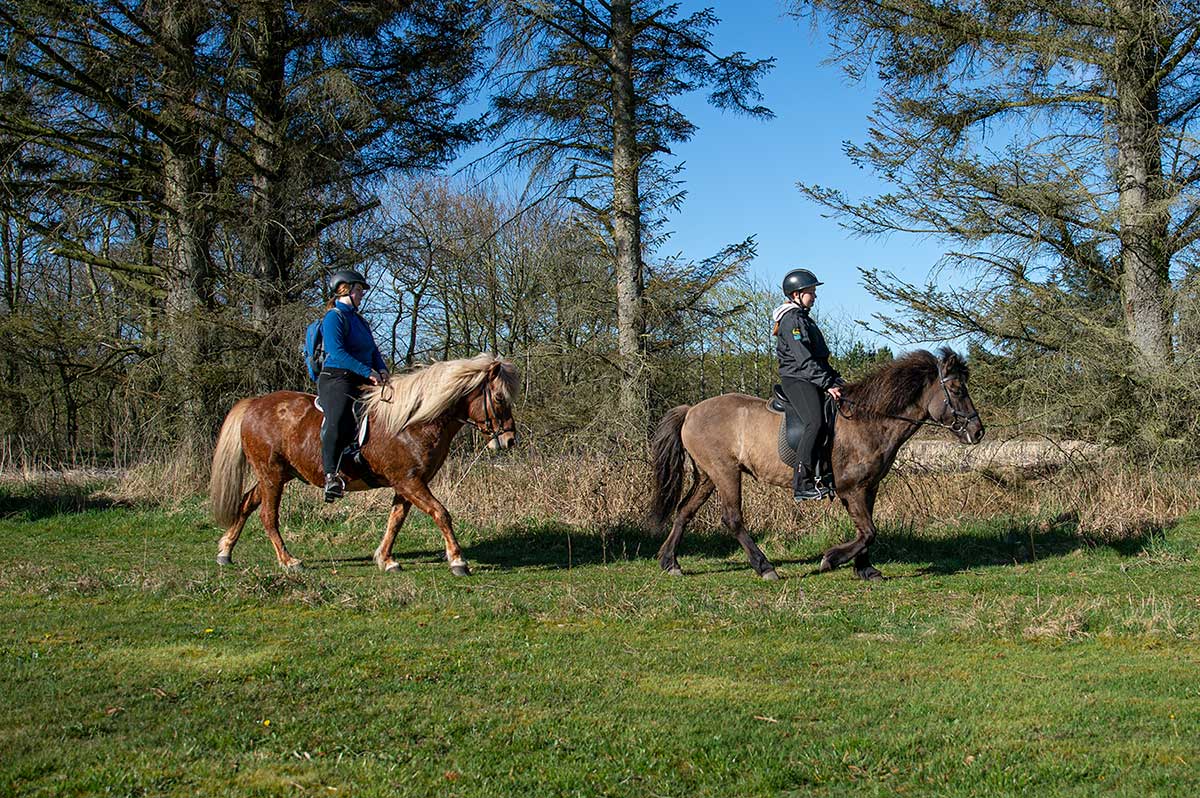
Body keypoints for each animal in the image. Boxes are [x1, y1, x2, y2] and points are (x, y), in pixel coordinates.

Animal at [208, 352, 518, 573]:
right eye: (499, 398)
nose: (510, 440)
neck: (412, 423)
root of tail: (254, 403)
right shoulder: (410, 481)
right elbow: (441, 513)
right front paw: (457, 560)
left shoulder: (406, 483)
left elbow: (396, 520)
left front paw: (385, 559)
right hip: (271, 474)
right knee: (267, 516)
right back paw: (288, 561)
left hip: (277, 475)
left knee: (246, 504)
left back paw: (225, 551)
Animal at [657, 348, 984, 578]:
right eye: (957, 390)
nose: (978, 431)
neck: (868, 420)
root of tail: (691, 411)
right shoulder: (851, 488)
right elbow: (868, 531)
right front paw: (832, 559)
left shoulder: (869, 487)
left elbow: (866, 530)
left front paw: (865, 569)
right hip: (725, 472)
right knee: (732, 519)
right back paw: (765, 567)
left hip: (708, 475)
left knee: (684, 511)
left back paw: (669, 561)